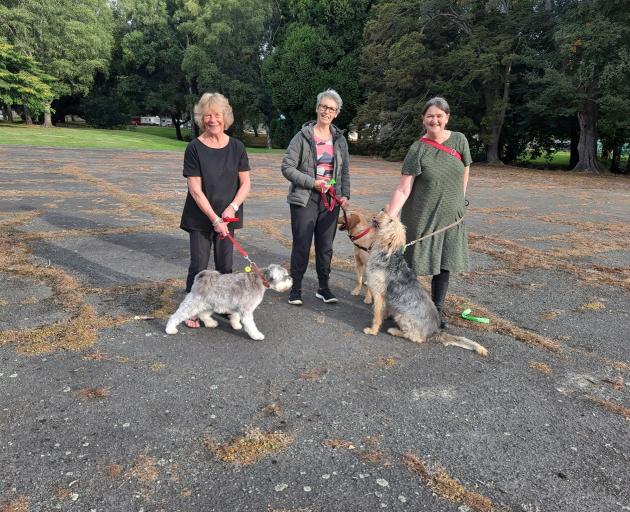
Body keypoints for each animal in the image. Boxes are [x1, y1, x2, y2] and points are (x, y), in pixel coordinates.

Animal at [165, 264, 294, 340]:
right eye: (285, 276)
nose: (291, 279)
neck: (260, 281)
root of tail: (201, 277)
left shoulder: (238, 307)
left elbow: (235, 317)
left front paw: (236, 325)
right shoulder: (247, 310)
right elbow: (251, 325)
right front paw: (256, 335)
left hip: (210, 304)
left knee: (203, 314)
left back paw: (211, 323)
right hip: (194, 303)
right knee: (177, 315)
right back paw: (170, 329)